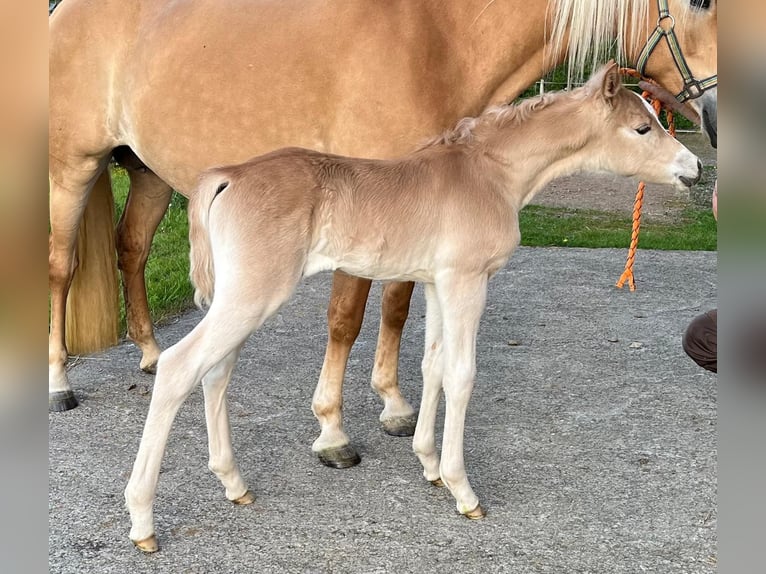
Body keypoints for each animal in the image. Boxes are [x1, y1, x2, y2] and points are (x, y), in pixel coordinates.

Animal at [49, 0, 720, 468]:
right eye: (702, 2)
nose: (708, 137)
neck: (439, 42)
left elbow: (397, 308)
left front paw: (395, 407)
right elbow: (347, 317)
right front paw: (333, 431)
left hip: (150, 174)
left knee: (131, 249)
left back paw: (147, 352)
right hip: (73, 168)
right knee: (61, 267)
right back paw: (60, 384)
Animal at [124, 63, 704, 552]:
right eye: (642, 128)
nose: (695, 168)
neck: (491, 172)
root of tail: (228, 176)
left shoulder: (436, 283)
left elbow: (432, 365)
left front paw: (428, 462)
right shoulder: (467, 281)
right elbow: (463, 374)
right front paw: (462, 490)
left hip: (240, 297)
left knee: (216, 371)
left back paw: (234, 484)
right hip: (253, 294)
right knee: (179, 367)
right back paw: (143, 521)